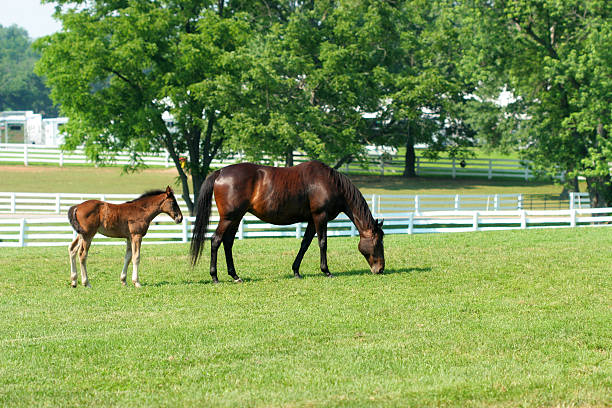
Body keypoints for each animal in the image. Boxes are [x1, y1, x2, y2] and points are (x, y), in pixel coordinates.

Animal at [189, 160, 384, 284]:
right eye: (378, 242)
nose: (380, 269)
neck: (330, 183)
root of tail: (220, 172)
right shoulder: (320, 217)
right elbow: (322, 243)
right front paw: (326, 271)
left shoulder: (312, 220)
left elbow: (305, 244)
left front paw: (296, 271)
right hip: (228, 218)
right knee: (216, 241)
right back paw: (215, 277)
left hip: (236, 218)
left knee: (228, 242)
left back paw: (235, 276)